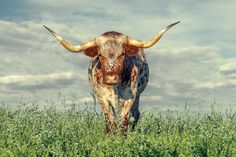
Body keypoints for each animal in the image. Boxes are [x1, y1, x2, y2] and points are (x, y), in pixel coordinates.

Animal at [43, 21, 179, 136]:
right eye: (100, 55)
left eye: (123, 54)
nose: (111, 78)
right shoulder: (101, 96)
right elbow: (110, 120)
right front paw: (109, 138)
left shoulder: (131, 95)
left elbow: (124, 120)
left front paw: (123, 139)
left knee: (134, 115)